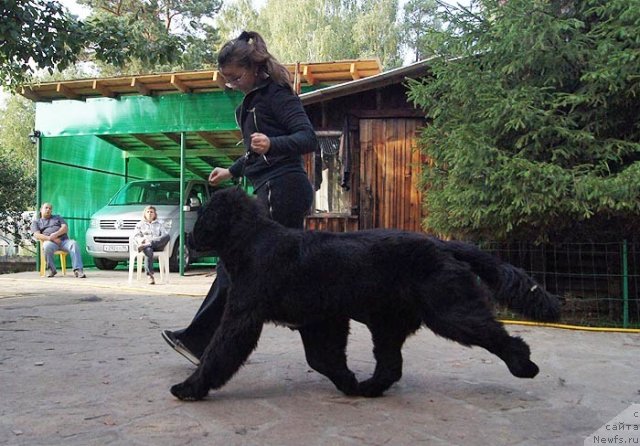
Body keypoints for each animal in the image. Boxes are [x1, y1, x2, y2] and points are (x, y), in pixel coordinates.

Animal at [170, 188, 560, 400]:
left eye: (204, 215)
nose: (189, 237)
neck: (251, 241)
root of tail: (442, 245)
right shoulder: (320, 321)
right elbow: (323, 359)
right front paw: (348, 381)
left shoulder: (243, 318)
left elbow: (218, 353)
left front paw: (190, 388)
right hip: (386, 324)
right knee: (391, 366)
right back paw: (369, 387)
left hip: (449, 313)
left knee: (497, 336)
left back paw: (524, 365)